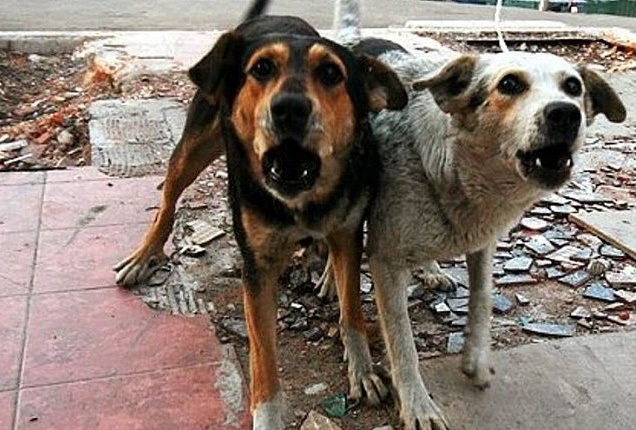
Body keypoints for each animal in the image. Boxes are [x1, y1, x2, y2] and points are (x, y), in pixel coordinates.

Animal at [113, 1, 408, 428]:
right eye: (262, 69)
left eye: (331, 73)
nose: (289, 109)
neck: (303, 199)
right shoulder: (257, 267)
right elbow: (262, 356)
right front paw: (267, 415)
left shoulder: (349, 231)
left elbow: (352, 310)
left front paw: (362, 370)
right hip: (193, 147)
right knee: (167, 202)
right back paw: (144, 255)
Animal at [330, 1, 628, 428]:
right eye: (510, 85)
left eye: (573, 87)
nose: (565, 114)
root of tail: (353, 42)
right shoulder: (385, 262)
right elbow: (402, 343)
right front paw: (417, 405)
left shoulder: (483, 241)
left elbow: (483, 297)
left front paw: (476, 357)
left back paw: (432, 269)